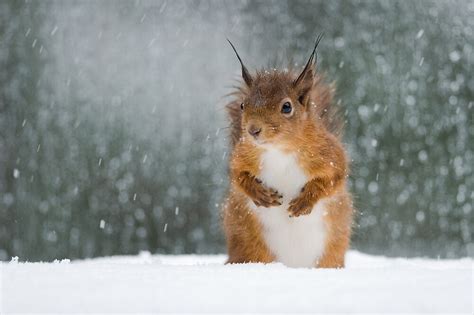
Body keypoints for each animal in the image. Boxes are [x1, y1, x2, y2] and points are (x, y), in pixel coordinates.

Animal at [222, 37, 352, 270]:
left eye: (286, 107)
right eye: (243, 104)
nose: (253, 130)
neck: (279, 151)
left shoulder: (331, 154)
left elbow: (334, 178)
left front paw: (305, 201)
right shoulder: (242, 155)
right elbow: (237, 175)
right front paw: (259, 193)